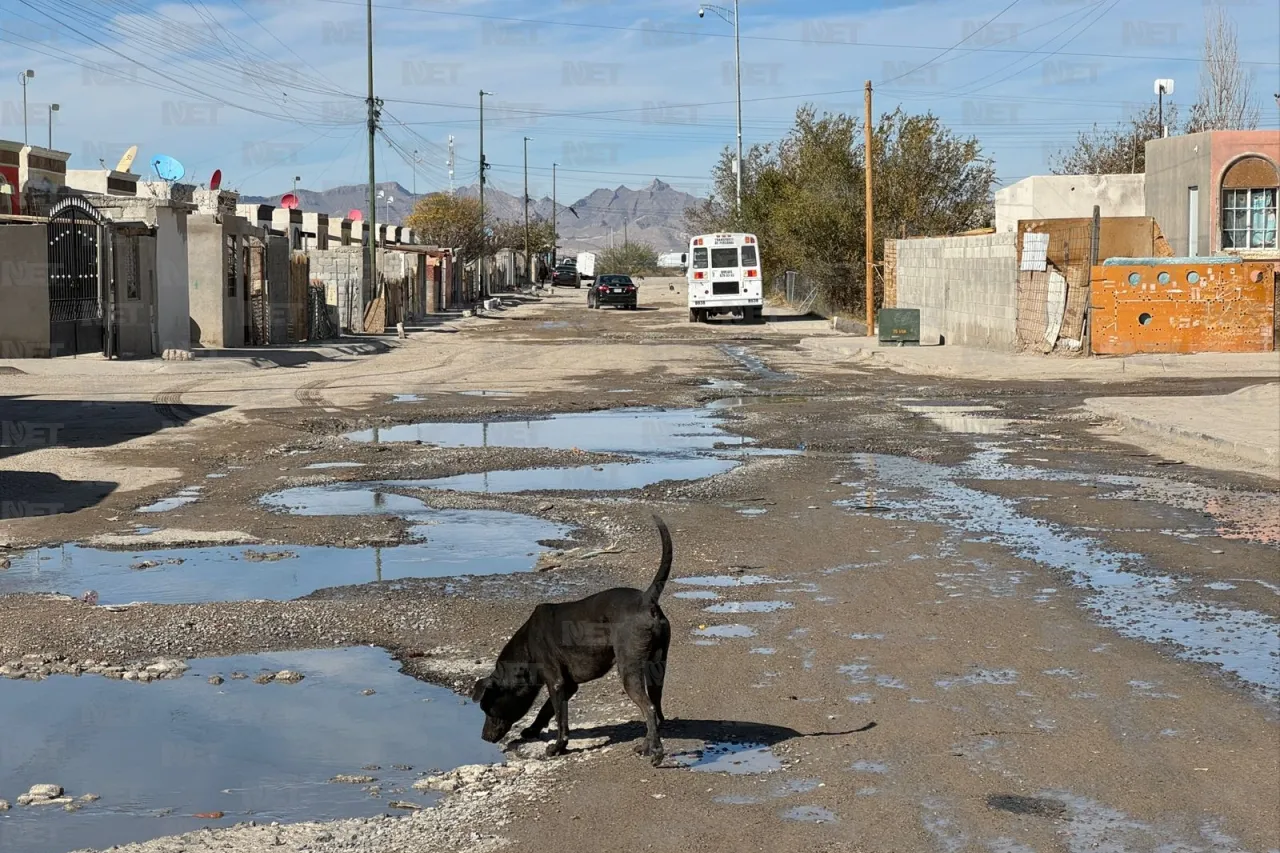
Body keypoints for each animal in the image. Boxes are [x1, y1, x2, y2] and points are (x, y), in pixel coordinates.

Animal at [471, 514, 670, 758]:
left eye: (488, 709)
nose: (483, 737)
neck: (527, 647)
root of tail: (646, 599)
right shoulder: (567, 685)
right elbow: (546, 710)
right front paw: (532, 730)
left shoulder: (555, 682)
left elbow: (560, 719)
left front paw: (558, 747)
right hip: (657, 667)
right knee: (655, 706)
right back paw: (648, 743)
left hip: (629, 668)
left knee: (648, 707)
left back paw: (655, 751)